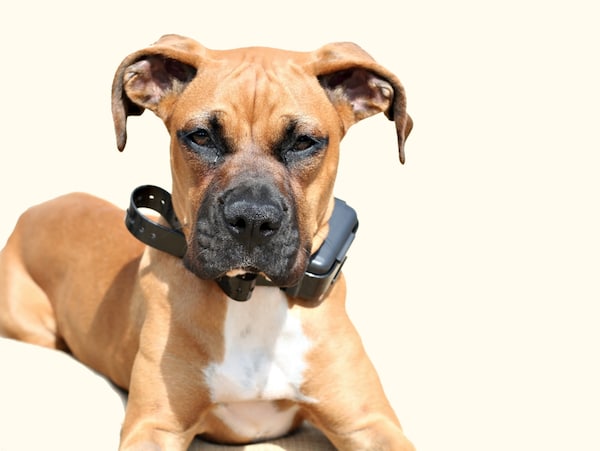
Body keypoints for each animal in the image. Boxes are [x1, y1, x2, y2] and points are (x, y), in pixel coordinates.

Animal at [0, 36, 412, 451]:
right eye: (201, 136)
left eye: (303, 142)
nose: (252, 220)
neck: (252, 295)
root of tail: (37, 208)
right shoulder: (155, 426)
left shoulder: (368, 423)